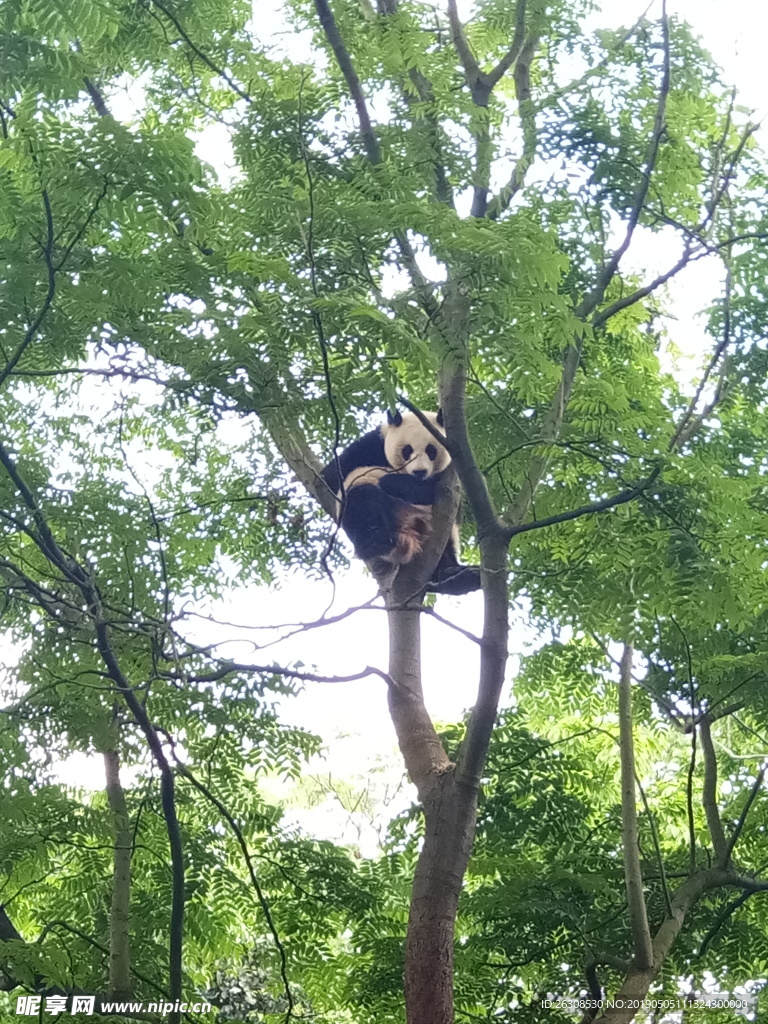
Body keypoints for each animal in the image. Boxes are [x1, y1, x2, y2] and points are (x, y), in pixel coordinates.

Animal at [323, 407, 481, 598]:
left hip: (441, 530)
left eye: (431, 450)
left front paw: (395, 482)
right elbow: (332, 474)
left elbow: (431, 491)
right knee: (362, 501)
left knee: (445, 551)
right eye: (407, 450)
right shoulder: (370, 444)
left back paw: (459, 575)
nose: (419, 471)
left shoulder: (450, 475)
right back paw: (375, 542)